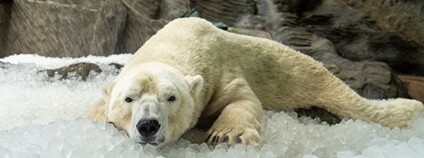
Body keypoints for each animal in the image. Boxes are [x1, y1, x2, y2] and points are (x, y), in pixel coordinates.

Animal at [88, 17, 420, 147]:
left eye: (171, 97)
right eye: (129, 99)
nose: (148, 126)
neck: (175, 43)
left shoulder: (219, 69)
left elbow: (241, 99)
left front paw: (225, 134)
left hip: (300, 70)